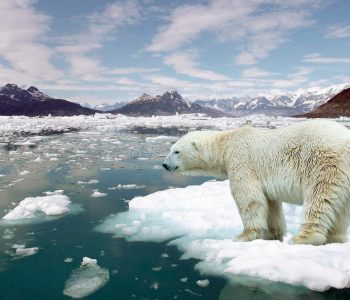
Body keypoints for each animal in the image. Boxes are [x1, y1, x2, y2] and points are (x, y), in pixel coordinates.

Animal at [162, 119, 350, 246]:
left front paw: (243, 236)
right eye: (170, 149)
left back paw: (303, 238)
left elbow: (249, 198)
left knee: (319, 198)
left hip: (323, 163)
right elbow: (271, 204)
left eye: (176, 151)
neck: (225, 145)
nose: (164, 164)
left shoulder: (241, 161)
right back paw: (335, 239)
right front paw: (272, 234)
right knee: (341, 208)